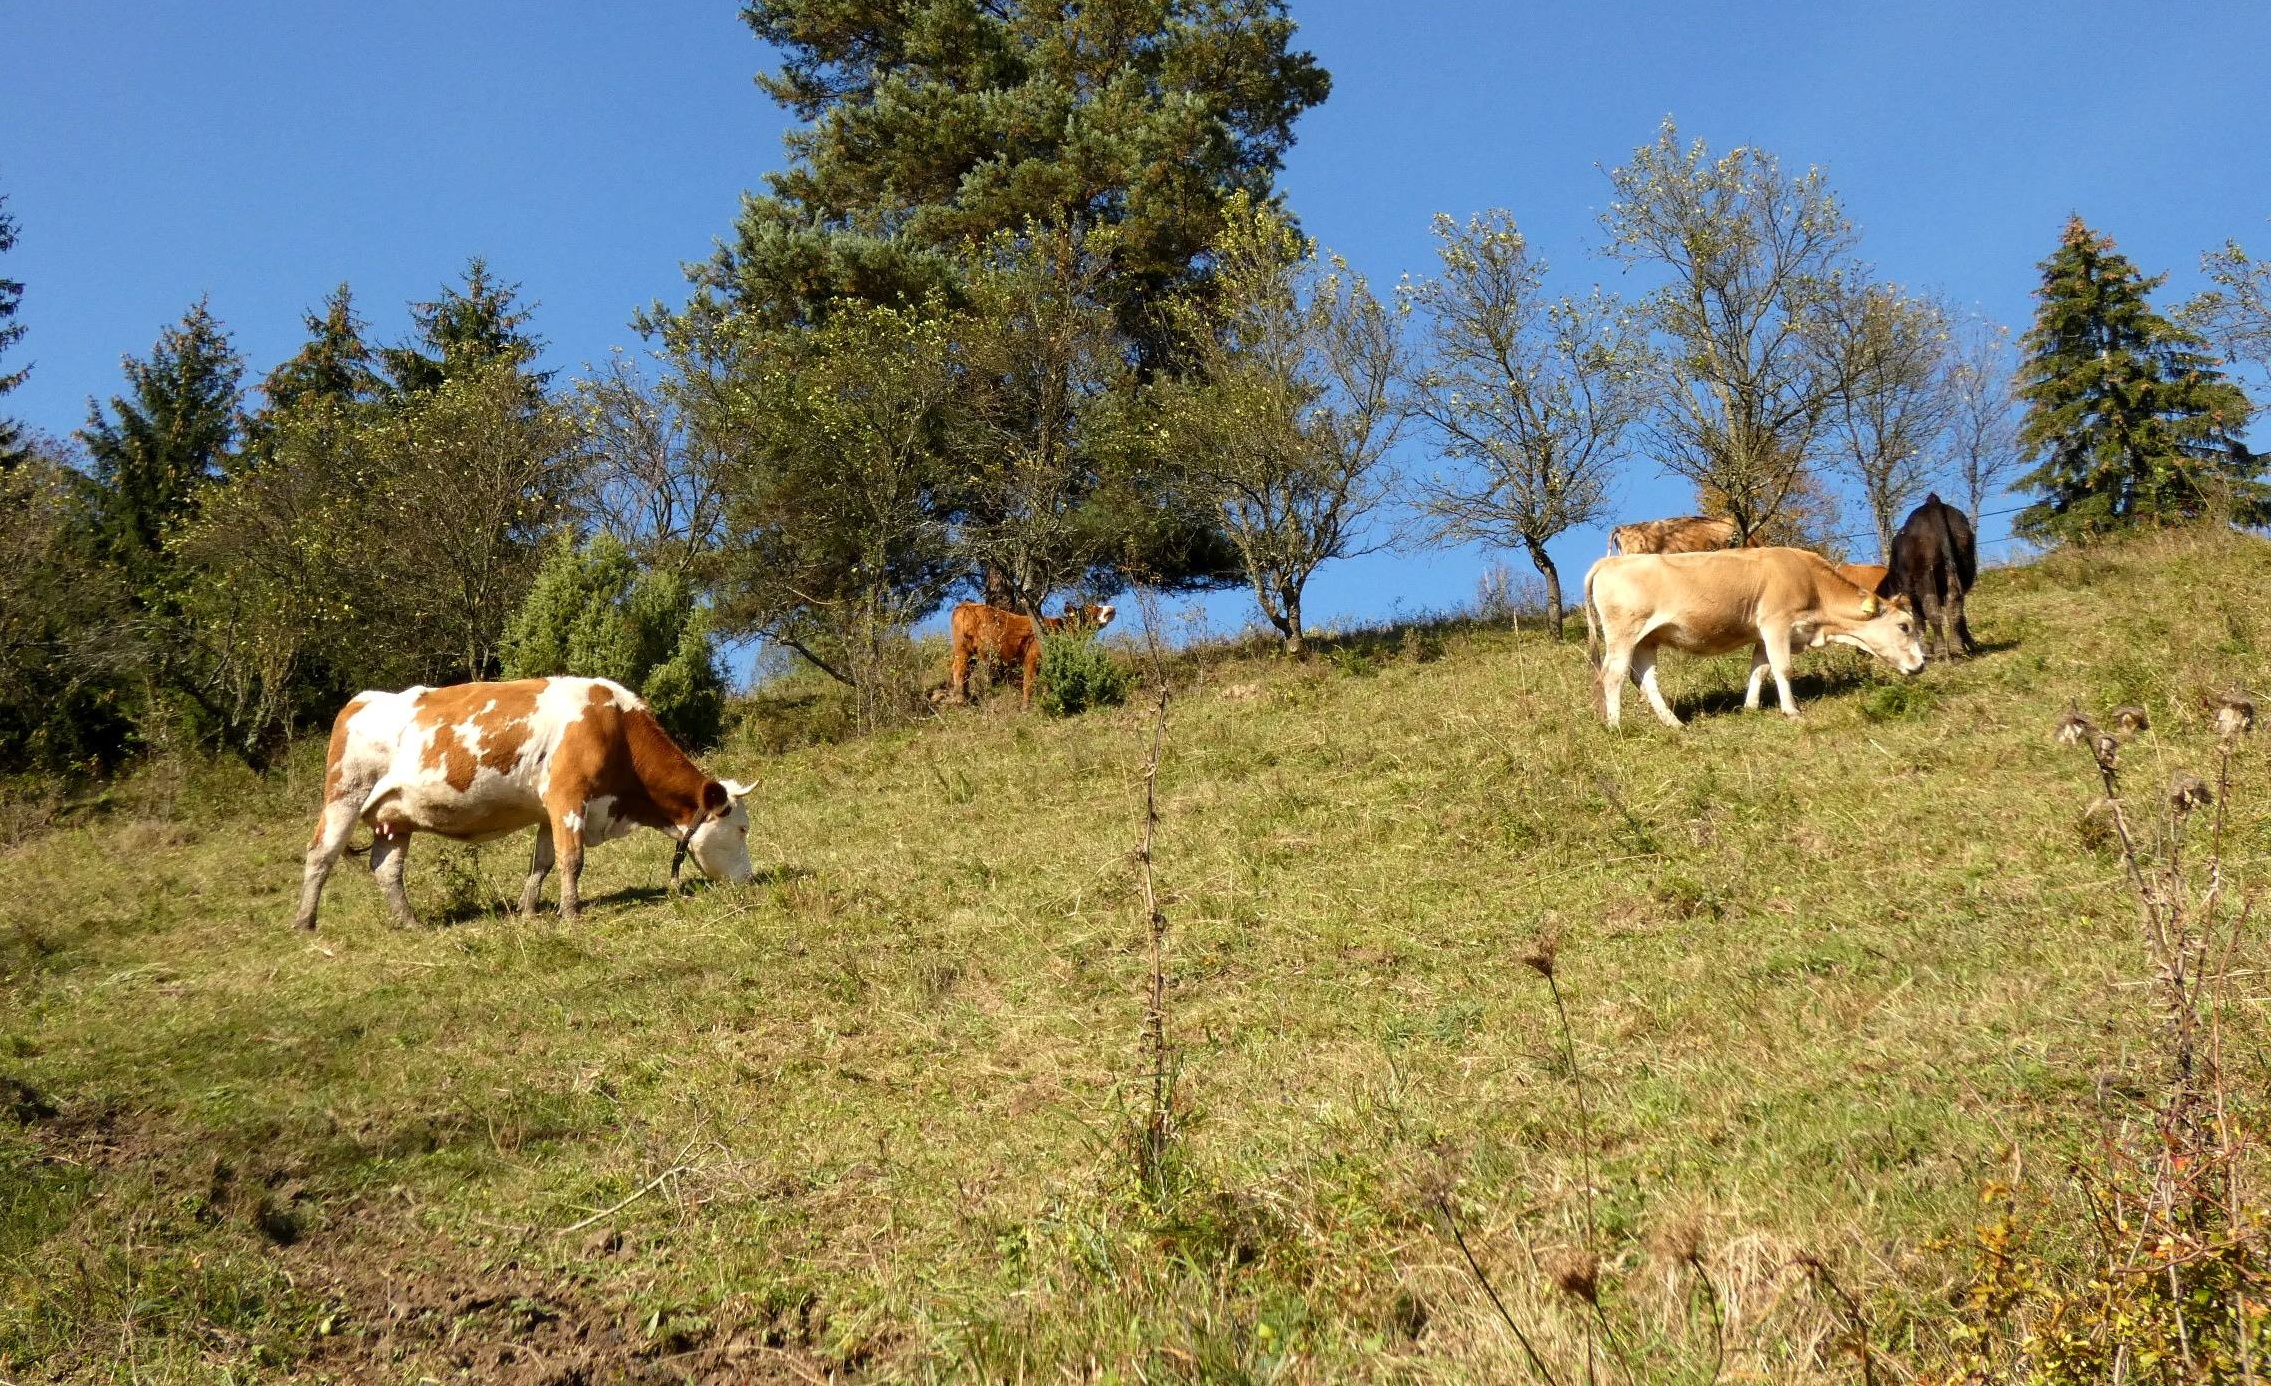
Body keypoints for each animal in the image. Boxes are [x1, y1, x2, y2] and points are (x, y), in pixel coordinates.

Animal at [288, 672, 753, 927]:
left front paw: (529, 911)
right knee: (321, 855)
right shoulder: (569, 795)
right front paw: (572, 913)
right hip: (344, 795)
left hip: (395, 815)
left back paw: (410, 922)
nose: (749, 880)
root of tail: (362, 699)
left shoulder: (550, 807)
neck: (613, 723)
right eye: (742, 828)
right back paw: (305, 923)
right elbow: (572, 859)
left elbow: (542, 862)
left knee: (387, 869)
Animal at [940, 595, 1117, 708]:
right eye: (1089, 609)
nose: (1111, 608)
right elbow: (1028, 683)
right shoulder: (1031, 658)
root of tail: (966, 604)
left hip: (972, 654)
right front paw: (1026, 707)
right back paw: (960, 698)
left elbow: (1046, 684)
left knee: (967, 672)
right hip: (962, 648)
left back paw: (967, 697)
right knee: (959, 669)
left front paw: (1047, 700)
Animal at [1589, 545, 1925, 727]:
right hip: (1623, 633)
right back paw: (1616, 726)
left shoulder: (1763, 634)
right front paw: (1792, 711)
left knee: (1645, 679)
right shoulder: (1777, 622)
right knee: (1613, 675)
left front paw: (1750, 708)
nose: (1922, 664)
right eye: (1904, 626)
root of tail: (1609, 561)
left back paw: (1674, 724)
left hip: (1646, 639)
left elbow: (1760, 669)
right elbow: (1783, 668)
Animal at [1889, 488, 1980, 654]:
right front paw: (1970, 643)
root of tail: (1933, 503)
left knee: (1932, 609)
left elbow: (1918, 619)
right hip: (1962, 565)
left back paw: (1941, 650)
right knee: (1955, 604)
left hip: (1925, 574)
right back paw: (1957, 647)